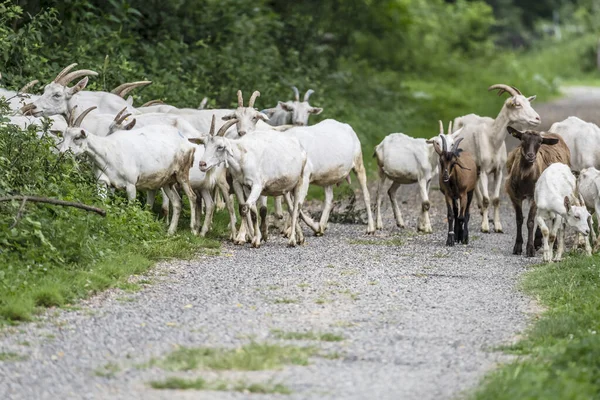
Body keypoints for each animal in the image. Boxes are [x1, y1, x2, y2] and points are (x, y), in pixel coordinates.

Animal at [192, 119, 312, 247]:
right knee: (291, 208)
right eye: (205, 145)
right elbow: (248, 210)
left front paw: (252, 239)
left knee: (296, 209)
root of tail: (301, 149)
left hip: (301, 182)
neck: (243, 156)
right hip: (287, 188)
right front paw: (252, 238)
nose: (202, 164)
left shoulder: (257, 185)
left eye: (220, 147)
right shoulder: (241, 185)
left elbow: (245, 208)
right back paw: (300, 238)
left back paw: (292, 240)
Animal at [450, 85, 544, 234]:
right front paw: (485, 227)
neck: (492, 138)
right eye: (517, 104)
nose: (537, 118)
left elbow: (496, 199)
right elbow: (486, 199)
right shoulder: (484, 170)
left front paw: (498, 226)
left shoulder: (499, 171)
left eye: (529, 103)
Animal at [504, 126, 568, 256]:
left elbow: (530, 221)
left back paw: (551, 244)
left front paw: (530, 249)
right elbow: (519, 219)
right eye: (523, 139)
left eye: (540, 142)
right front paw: (518, 246)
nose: (530, 156)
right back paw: (538, 241)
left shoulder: (534, 197)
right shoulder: (514, 195)